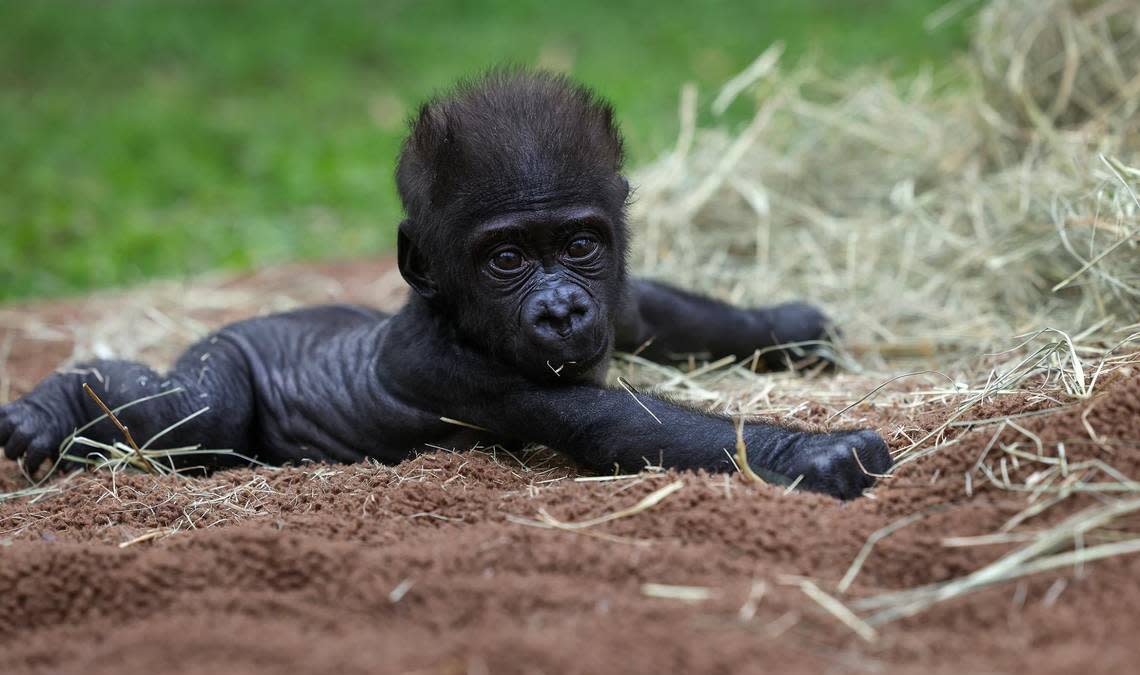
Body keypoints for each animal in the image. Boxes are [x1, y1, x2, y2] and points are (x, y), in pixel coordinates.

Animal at [0, 71, 889, 499]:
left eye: (578, 245)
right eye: (505, 260)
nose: (560, 309)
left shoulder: (616, 291)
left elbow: (657, 308)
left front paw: (784, 323)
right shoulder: (454, 369)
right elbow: (616, 425)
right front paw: (815, 453)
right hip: (225, 352)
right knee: (197, 409)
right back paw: (58, 399)